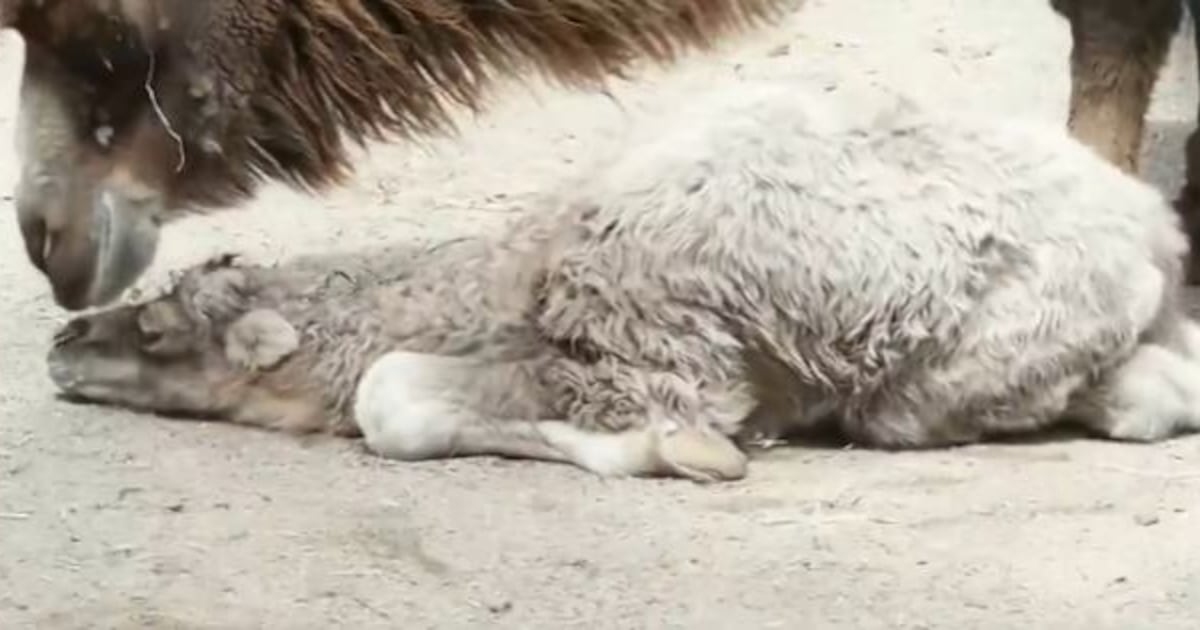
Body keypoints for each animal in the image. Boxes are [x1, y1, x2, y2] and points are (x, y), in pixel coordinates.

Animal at [46, 79, 1200, 482]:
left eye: (160, 331)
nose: (60, 345)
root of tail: (1150, 232)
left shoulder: (637, 350)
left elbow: (393, 400)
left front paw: (693, 455)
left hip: (966, 359)